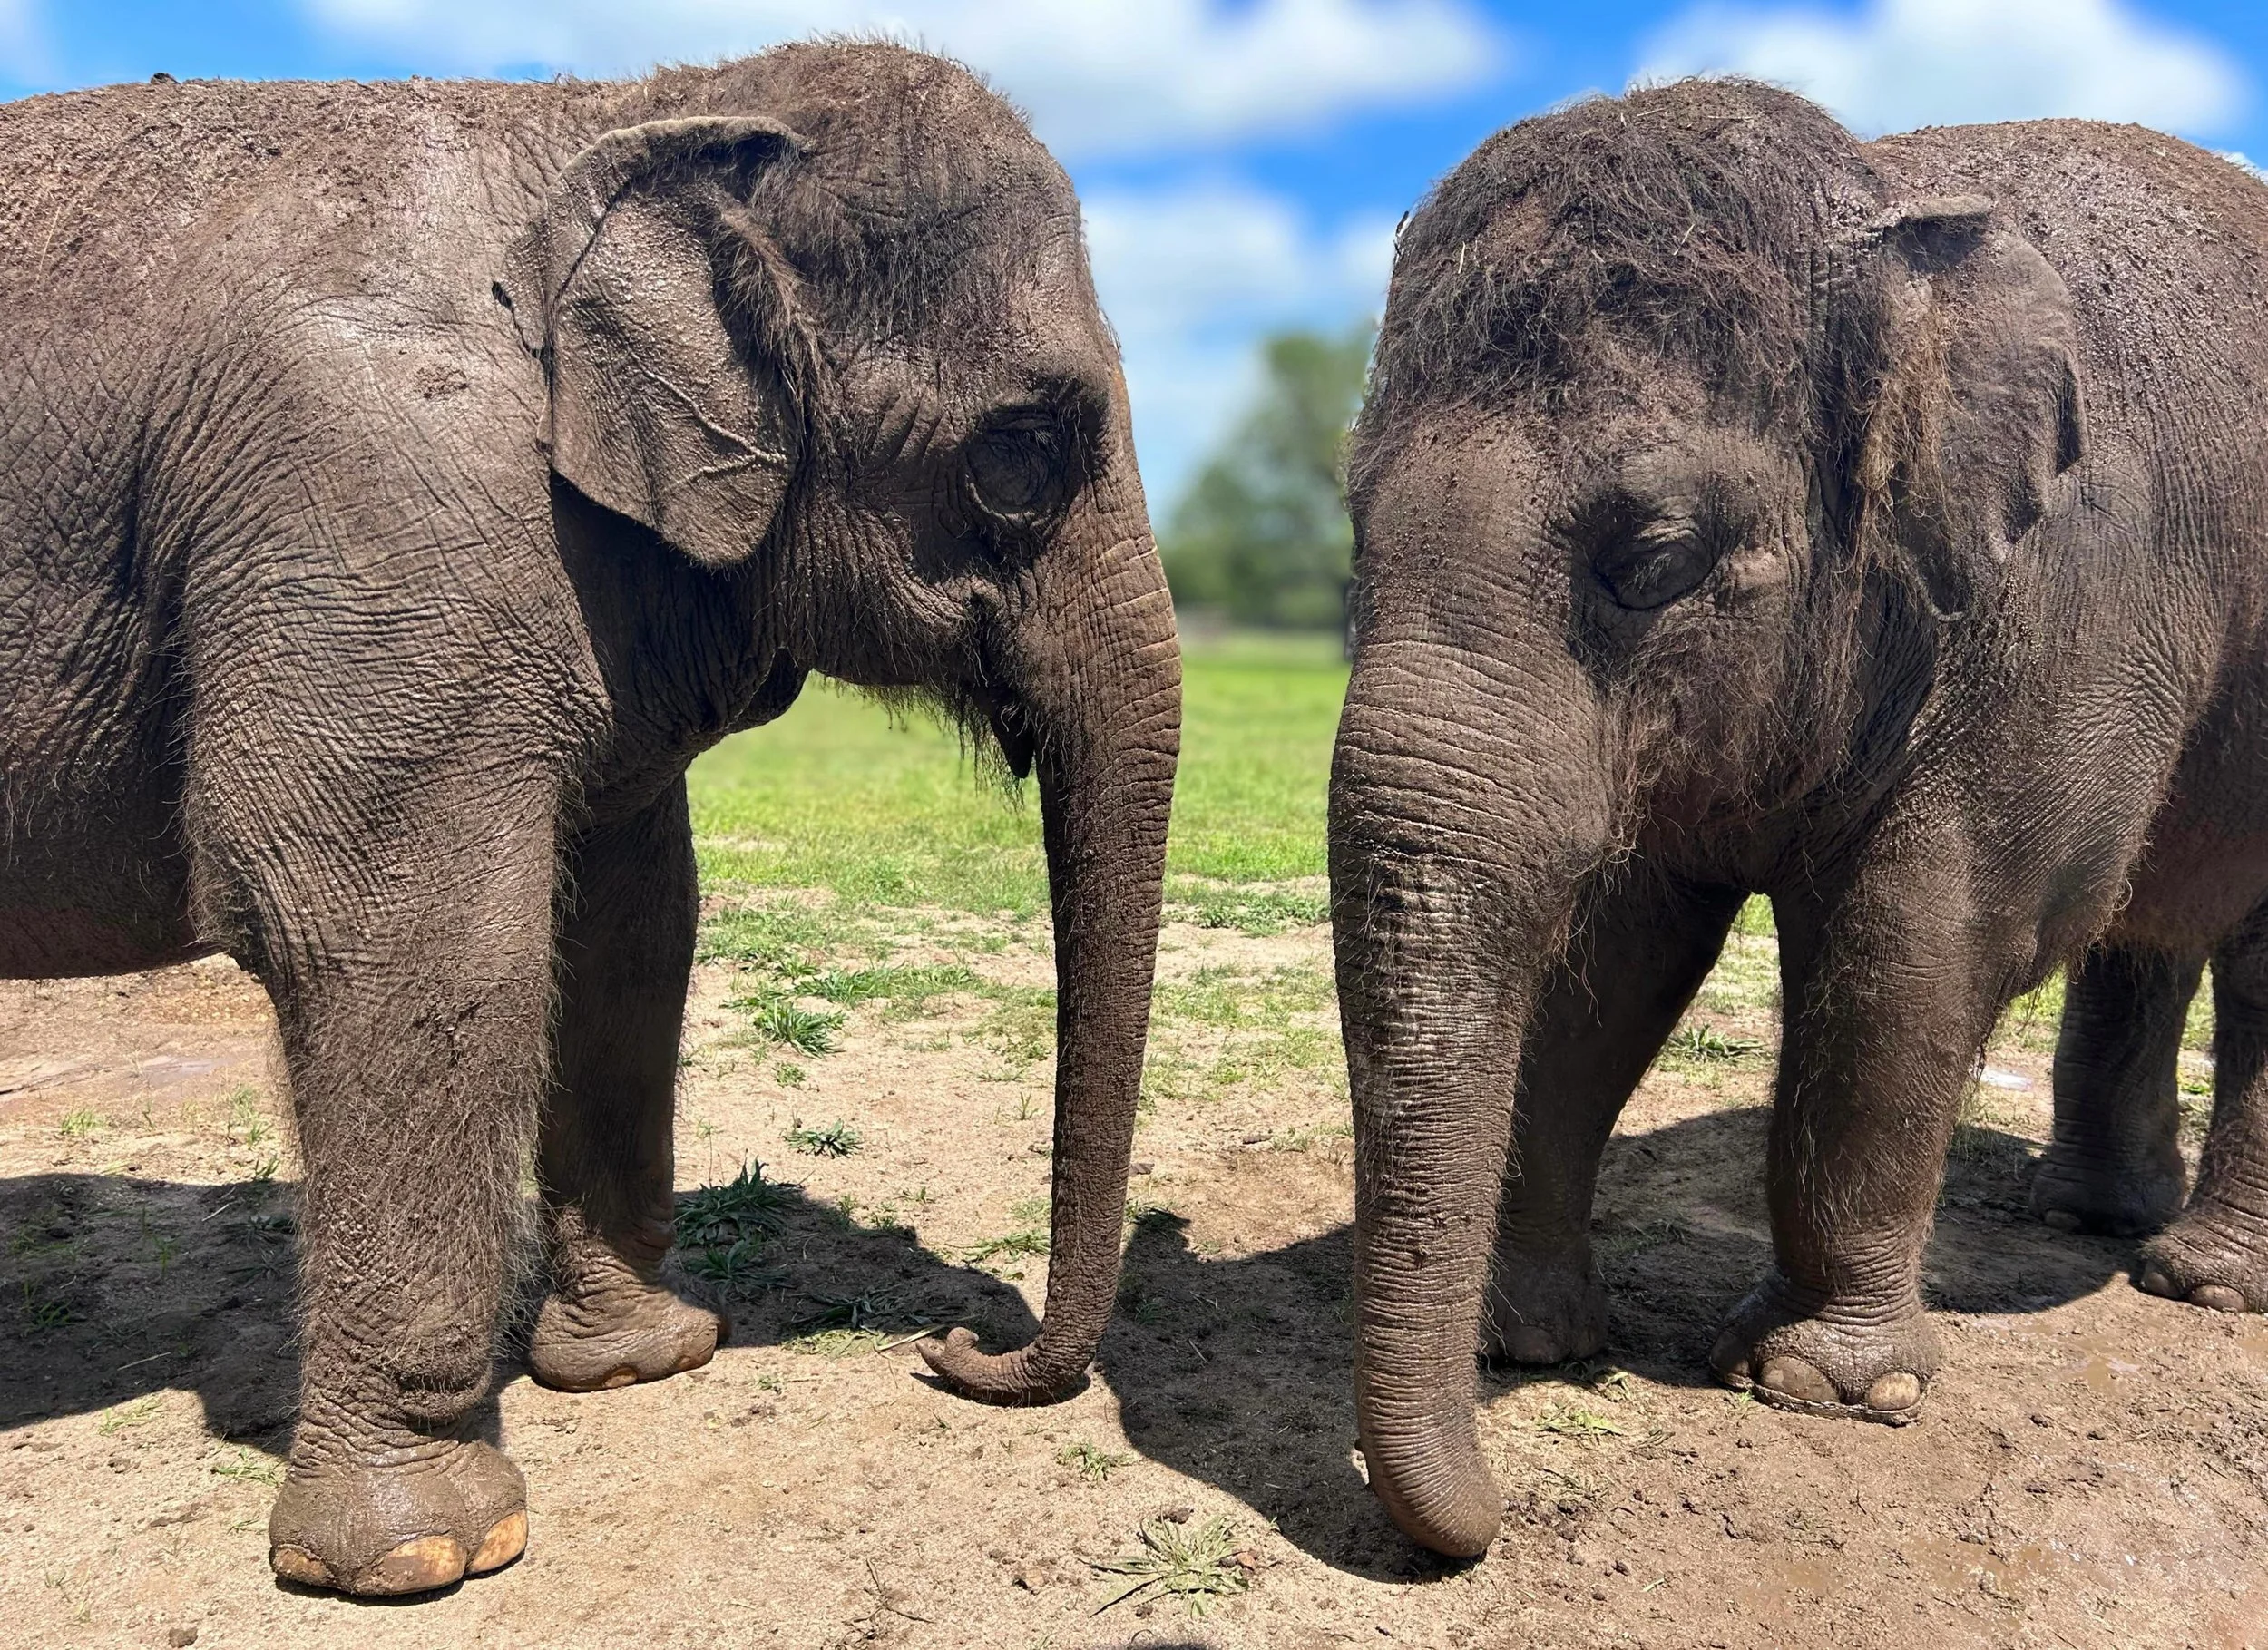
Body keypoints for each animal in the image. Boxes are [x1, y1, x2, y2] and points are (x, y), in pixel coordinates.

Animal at [0, 43, 1179, 1595]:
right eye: (1022, 453)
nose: (958, 1347)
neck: (623, 104)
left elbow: (632, 924)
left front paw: (642, 1363)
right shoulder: (380, 508)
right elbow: (415, 942)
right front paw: (426, 1552)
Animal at [1330, 76, 2268, 1557]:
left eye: (1652, 558)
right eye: (1355, 530)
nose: (1495, 1517)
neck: (1881, 212)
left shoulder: (2074, 611)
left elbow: (1924, 944)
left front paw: (1823, 1386)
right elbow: (1614, 957)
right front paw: (1518, 1340)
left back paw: (2203, 1283)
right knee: (2143, 936)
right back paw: (2082, 1217)